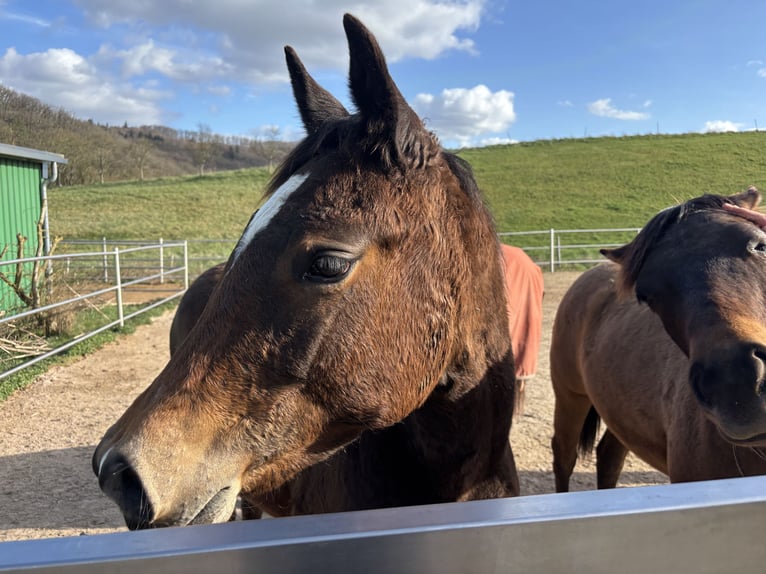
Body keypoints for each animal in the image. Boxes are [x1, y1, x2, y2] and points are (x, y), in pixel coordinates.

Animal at [550, 186, 766, 492]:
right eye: (645, 295)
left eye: (760, 245)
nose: (735, 381)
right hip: (570, 396)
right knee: (564, 457)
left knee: (609, 456)